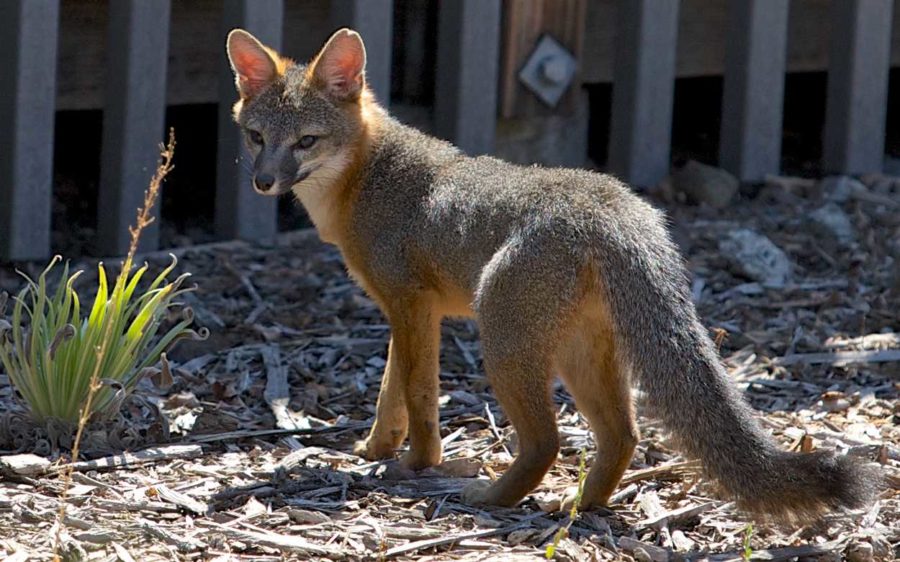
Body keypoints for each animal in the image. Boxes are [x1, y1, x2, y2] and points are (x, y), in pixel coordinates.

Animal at [227, 25, 880, 516]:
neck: (366, 180)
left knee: (547, 441)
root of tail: (611, 204)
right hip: (577, 353)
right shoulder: (409, 312)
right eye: (256, 137)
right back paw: (582, 505)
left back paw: (493, 498)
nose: (262, 181)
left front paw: (418, 463)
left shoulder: (411, 306)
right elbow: (392, 392)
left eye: (306, 142)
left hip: (503, 338)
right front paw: (375, 448)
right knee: (623, 435)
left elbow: (417, 394)